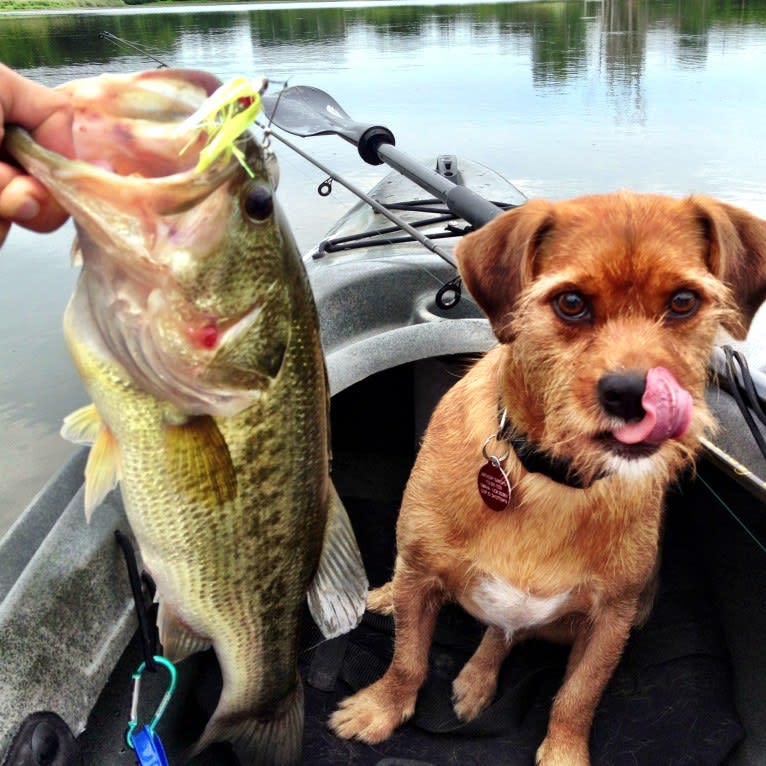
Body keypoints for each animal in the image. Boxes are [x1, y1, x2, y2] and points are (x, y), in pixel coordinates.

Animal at [332, 194, 766, 766]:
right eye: (571, 303)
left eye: (683, 301)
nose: (638, 396)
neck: (551, 478)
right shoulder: (422, 576)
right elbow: (407, 659)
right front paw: (379, 710)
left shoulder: (610, 622)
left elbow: (578, 696)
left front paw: (563, 753)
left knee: (506, 633)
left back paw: (477, 679)